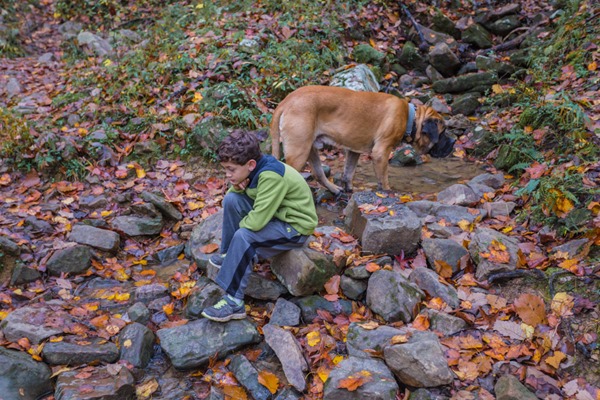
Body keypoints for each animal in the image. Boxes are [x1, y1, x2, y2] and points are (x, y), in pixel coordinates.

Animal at [270, 86, 452, 195]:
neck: (410, 118)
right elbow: (383, 176)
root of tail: (286, 101)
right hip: (299, 151)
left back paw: (334, 189)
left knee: (318, 173)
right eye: (442, 133)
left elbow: (348, 172)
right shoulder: (381, 152)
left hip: (310, 148)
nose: (452, 143)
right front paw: (388, 191)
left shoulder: (353, 151)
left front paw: (349, 188)